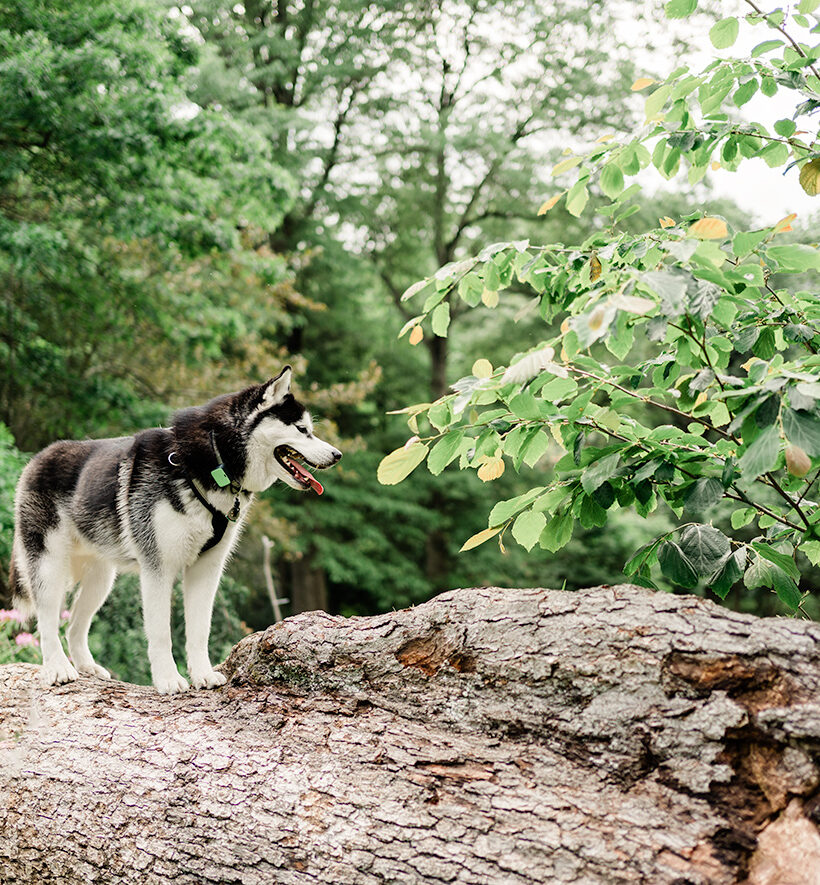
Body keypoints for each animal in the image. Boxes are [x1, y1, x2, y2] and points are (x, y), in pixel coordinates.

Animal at [8, 366, 340, 692]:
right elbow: (160, 633)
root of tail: (36, 459)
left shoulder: (207, 569)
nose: (337, 455)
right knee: (47, 622)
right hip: (49, 567)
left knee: (75, 625)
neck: (215, 460)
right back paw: (58, 668)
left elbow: (199, 630)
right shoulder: (158, 568)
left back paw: (87, 667)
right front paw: (168, 679)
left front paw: (202, 675)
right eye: (301, 430)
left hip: (100, 580)